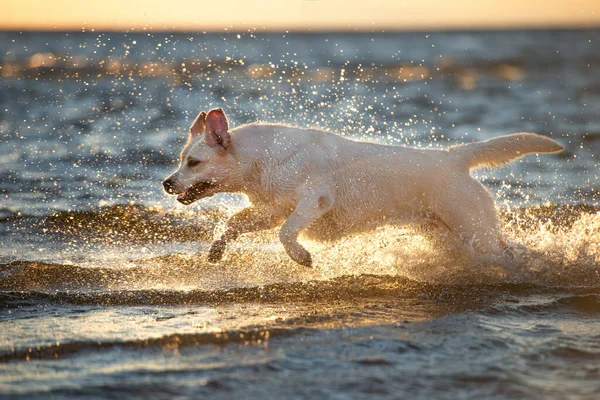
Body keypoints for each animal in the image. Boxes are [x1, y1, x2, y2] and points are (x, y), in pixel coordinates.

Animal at [163, 108, 564, 268]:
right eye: (180, 158)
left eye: (193, 163)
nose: (166, 183)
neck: (260, 160)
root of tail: (454, 157)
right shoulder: (270, 209)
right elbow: (233, 223)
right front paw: (216, 251)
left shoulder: (313, 200)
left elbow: (286, 232)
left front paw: (301, 256)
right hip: (450, 234)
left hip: (475, 233)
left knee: (509, 253)